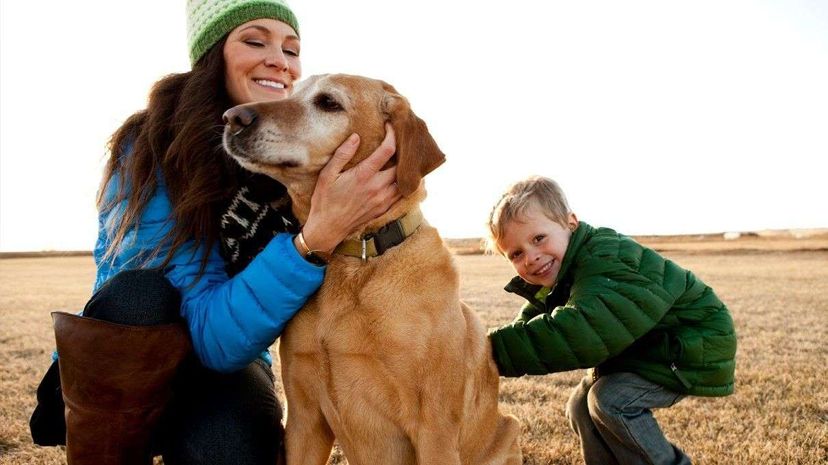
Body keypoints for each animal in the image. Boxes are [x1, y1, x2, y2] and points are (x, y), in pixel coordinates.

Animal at [220, 74, 516, 462]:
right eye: (288, 92)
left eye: (328, 103)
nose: (232, 117)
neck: (356, 259)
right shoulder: (303, 421)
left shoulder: (434, 428)